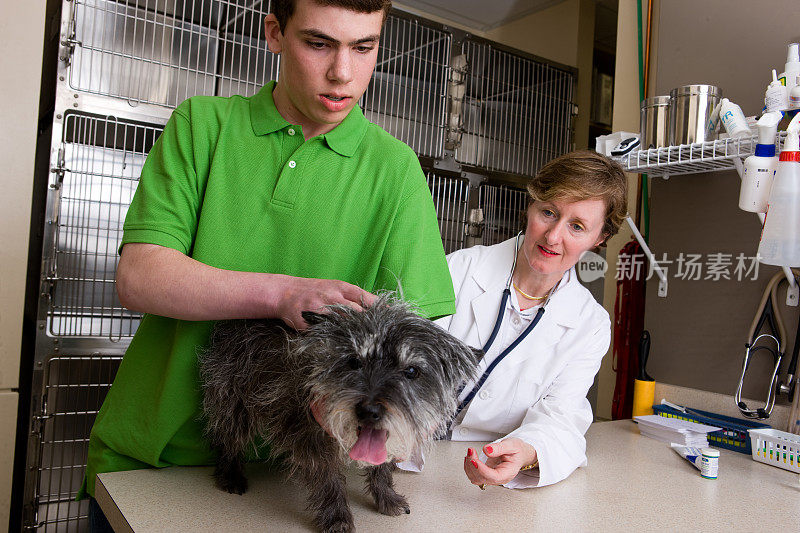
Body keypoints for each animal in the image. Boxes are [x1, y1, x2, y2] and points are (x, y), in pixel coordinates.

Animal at [198, 294, 482, 528]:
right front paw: (337, 517)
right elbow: (328, 478)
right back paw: (231, 475)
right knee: (228, 437)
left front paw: (387, 498)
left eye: (411, 371)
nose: (368, 411)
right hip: (235, 400)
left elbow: (381, 468)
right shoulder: (308, 436)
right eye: (354, 362)